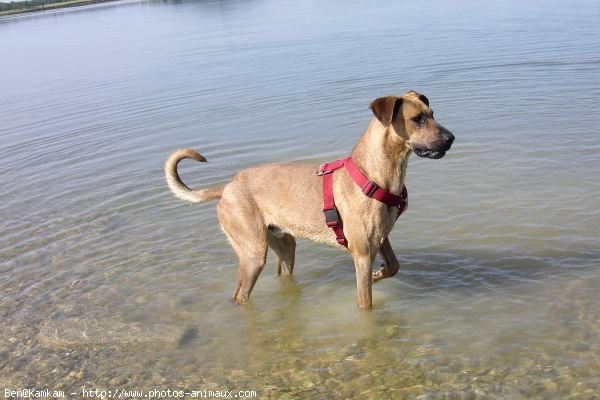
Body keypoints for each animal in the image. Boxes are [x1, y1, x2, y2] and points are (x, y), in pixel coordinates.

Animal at [164, 90, 454, 310]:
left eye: (432, 114)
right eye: (417, 119)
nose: (451, 139)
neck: (374, 174)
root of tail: (227, 187)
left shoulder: (381, 238)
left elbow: (394, 265)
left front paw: (380, 273)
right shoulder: (361, 255)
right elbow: (365, 303)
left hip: (285, 246)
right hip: (253, 253)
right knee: (239, 295)